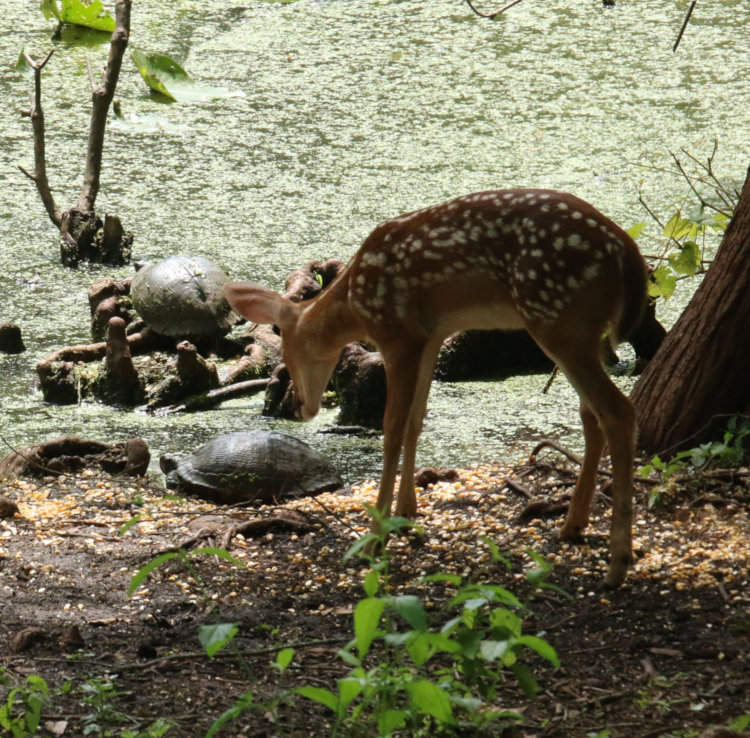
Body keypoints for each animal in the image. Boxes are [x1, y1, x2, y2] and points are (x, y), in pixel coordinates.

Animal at [225, 189, 648, 587]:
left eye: (287, 348)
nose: (299, 407)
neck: (356, 304)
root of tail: (627, 252)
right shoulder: (431, 336)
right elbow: (416, 420)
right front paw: (405, 513)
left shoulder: (398, 335)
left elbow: (392, 428)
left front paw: (376, 537)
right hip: (579, 330)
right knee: (591, 414)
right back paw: (572, 525)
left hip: (557, 315)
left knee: (617, 411)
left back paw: (617, 563)